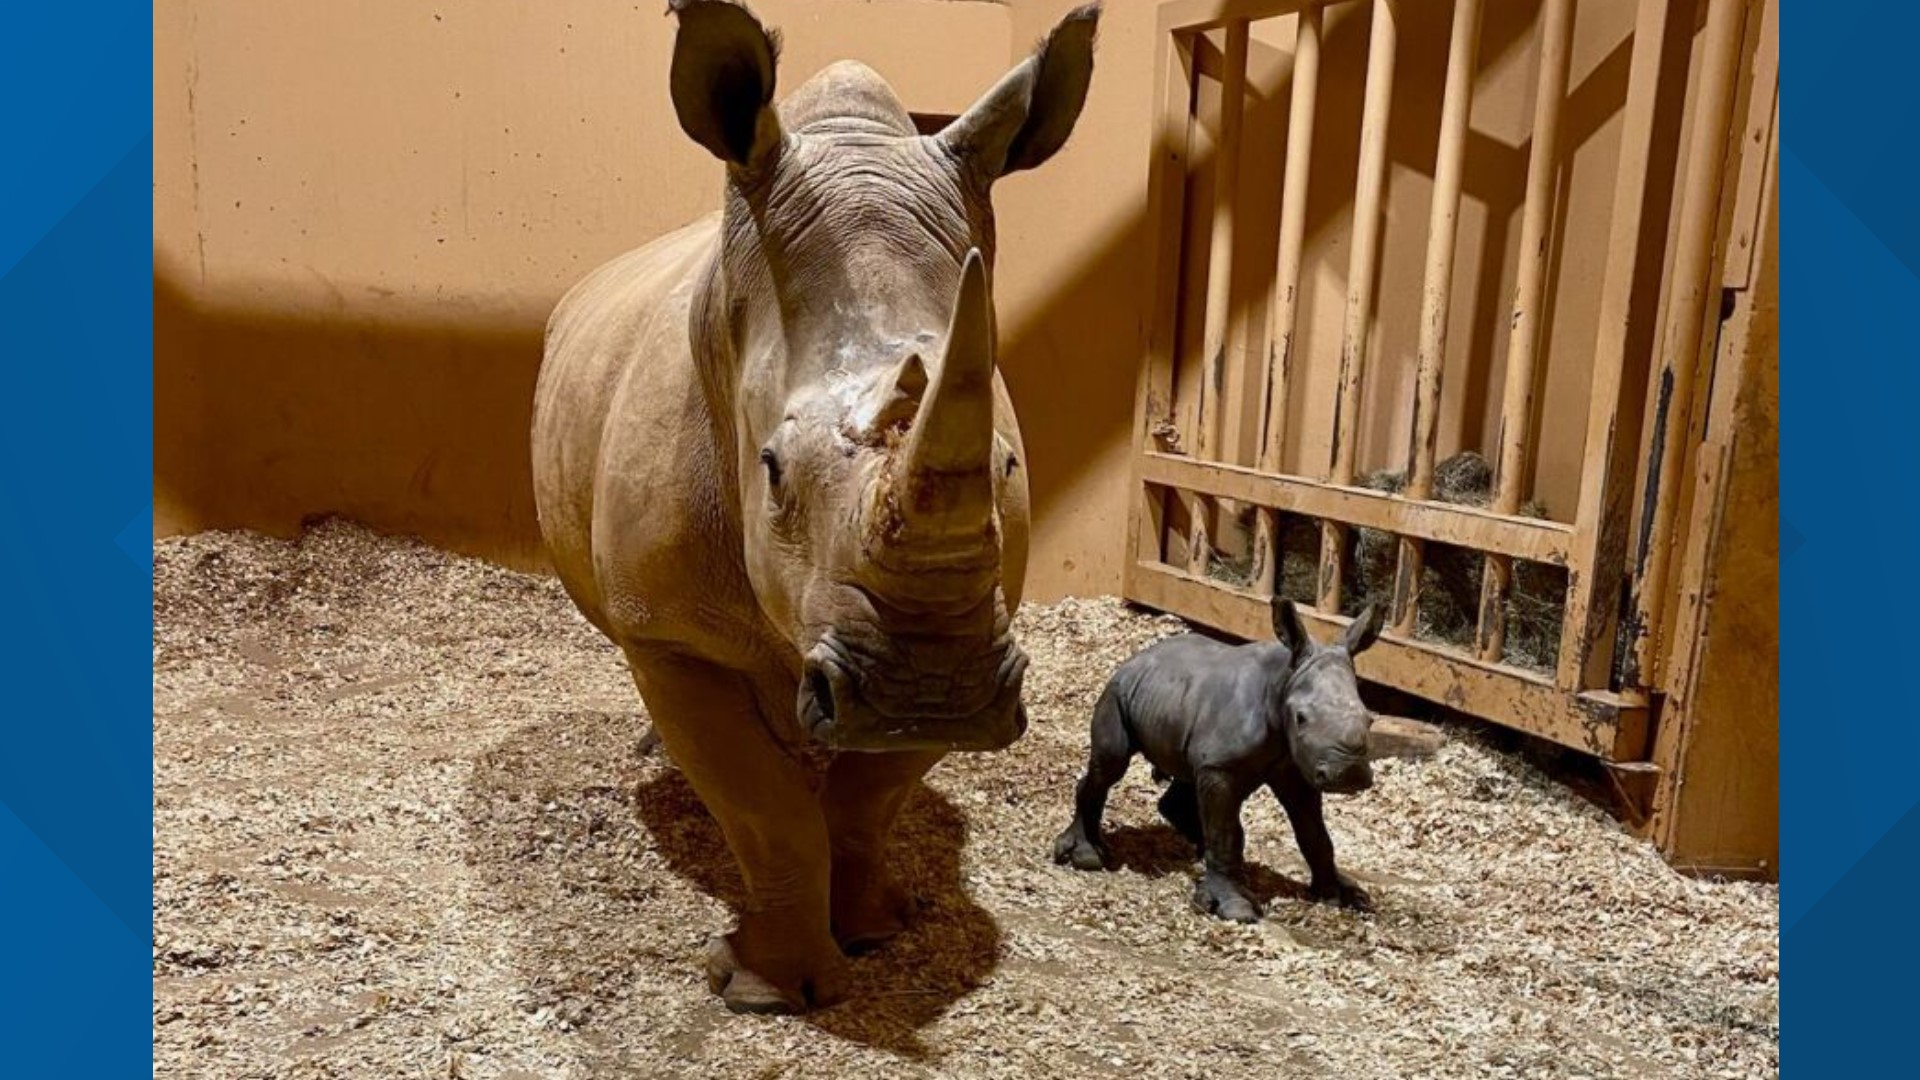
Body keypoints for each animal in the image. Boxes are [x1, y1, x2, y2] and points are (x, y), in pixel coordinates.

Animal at [1052, 595, 1382, 914]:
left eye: (1370, 720)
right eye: (1300, 718)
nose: (1349, 774)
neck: (1284, 681)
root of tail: (1136, 658)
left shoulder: (1294, 767)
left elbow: (1315, 834)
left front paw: (1343, 896)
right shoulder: (1221, 767)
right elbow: (1225, 833)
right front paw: (1233, 906)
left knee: (1186, 780)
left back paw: (1202, 857)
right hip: (1116, 693)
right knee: (1112, 764)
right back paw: (1086, 856)